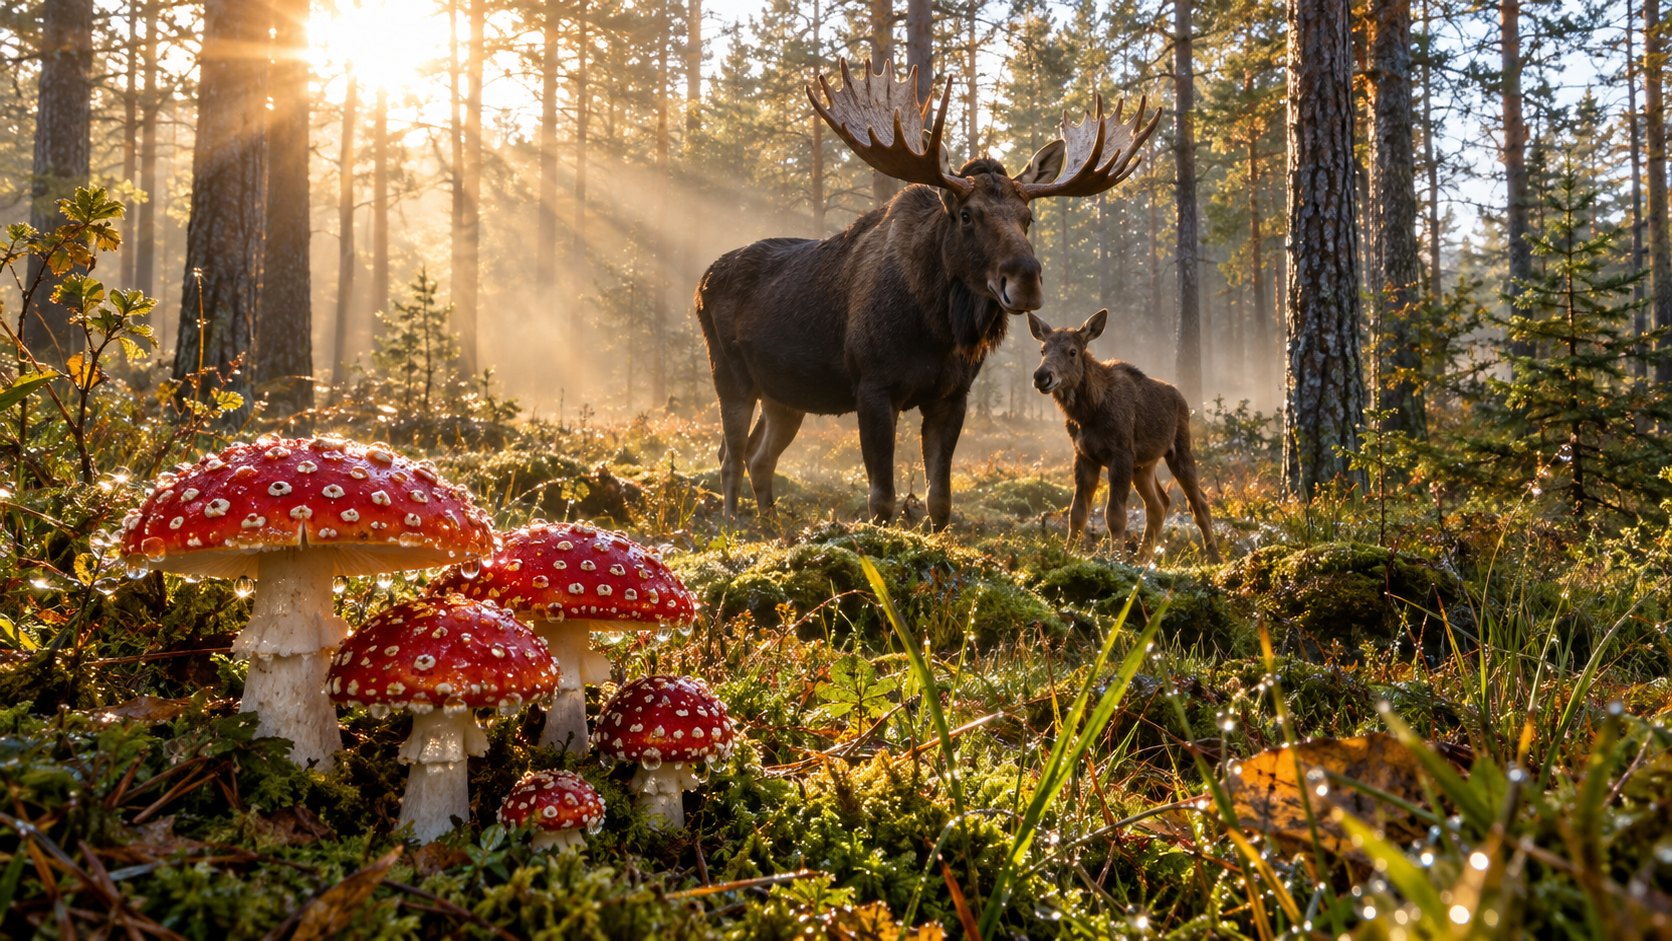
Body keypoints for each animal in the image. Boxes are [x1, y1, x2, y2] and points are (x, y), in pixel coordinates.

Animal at [694, 58, 1158, 530]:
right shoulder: (873, 387)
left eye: (1027, 217)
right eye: (967, 215)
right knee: (730, 455)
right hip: (729, 375)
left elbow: (941, 500)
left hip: (785, 395)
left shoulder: (951, 396)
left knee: (760, 457)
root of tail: (702, 282)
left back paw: (772, 526)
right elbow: (881, 499)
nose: (1025, 281)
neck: (936, 328)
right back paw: (732, 523)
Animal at [1028, 309, 1220, 563]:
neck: (1088, 411)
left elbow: (1115, 514)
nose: (1041, 375)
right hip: (1144, 466)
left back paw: (1214, 556)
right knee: (1159, 503)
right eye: (1042, 350)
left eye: (1072, 351)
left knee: (1199, 502)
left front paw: (1115, 557)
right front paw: (1068, 553)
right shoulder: (1084, 455)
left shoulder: (1120, 454)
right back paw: (1142, 557)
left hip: (1179, 450)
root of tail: (1182, 397)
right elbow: (1077, 513)